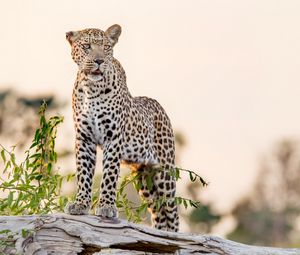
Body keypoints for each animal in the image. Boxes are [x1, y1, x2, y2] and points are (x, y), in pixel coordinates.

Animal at [63, 23, 178, 231]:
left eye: (106, 48)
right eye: (87, 47)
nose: (99, 61)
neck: (91, 89)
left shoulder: (113, 138)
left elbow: (109, 174)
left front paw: (107, 207)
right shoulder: (84, 138)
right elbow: (84, 173)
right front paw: (80, 204)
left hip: (164, 173)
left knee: (172, 212)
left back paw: (173, 236)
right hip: (144, 178)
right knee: (158, 212)